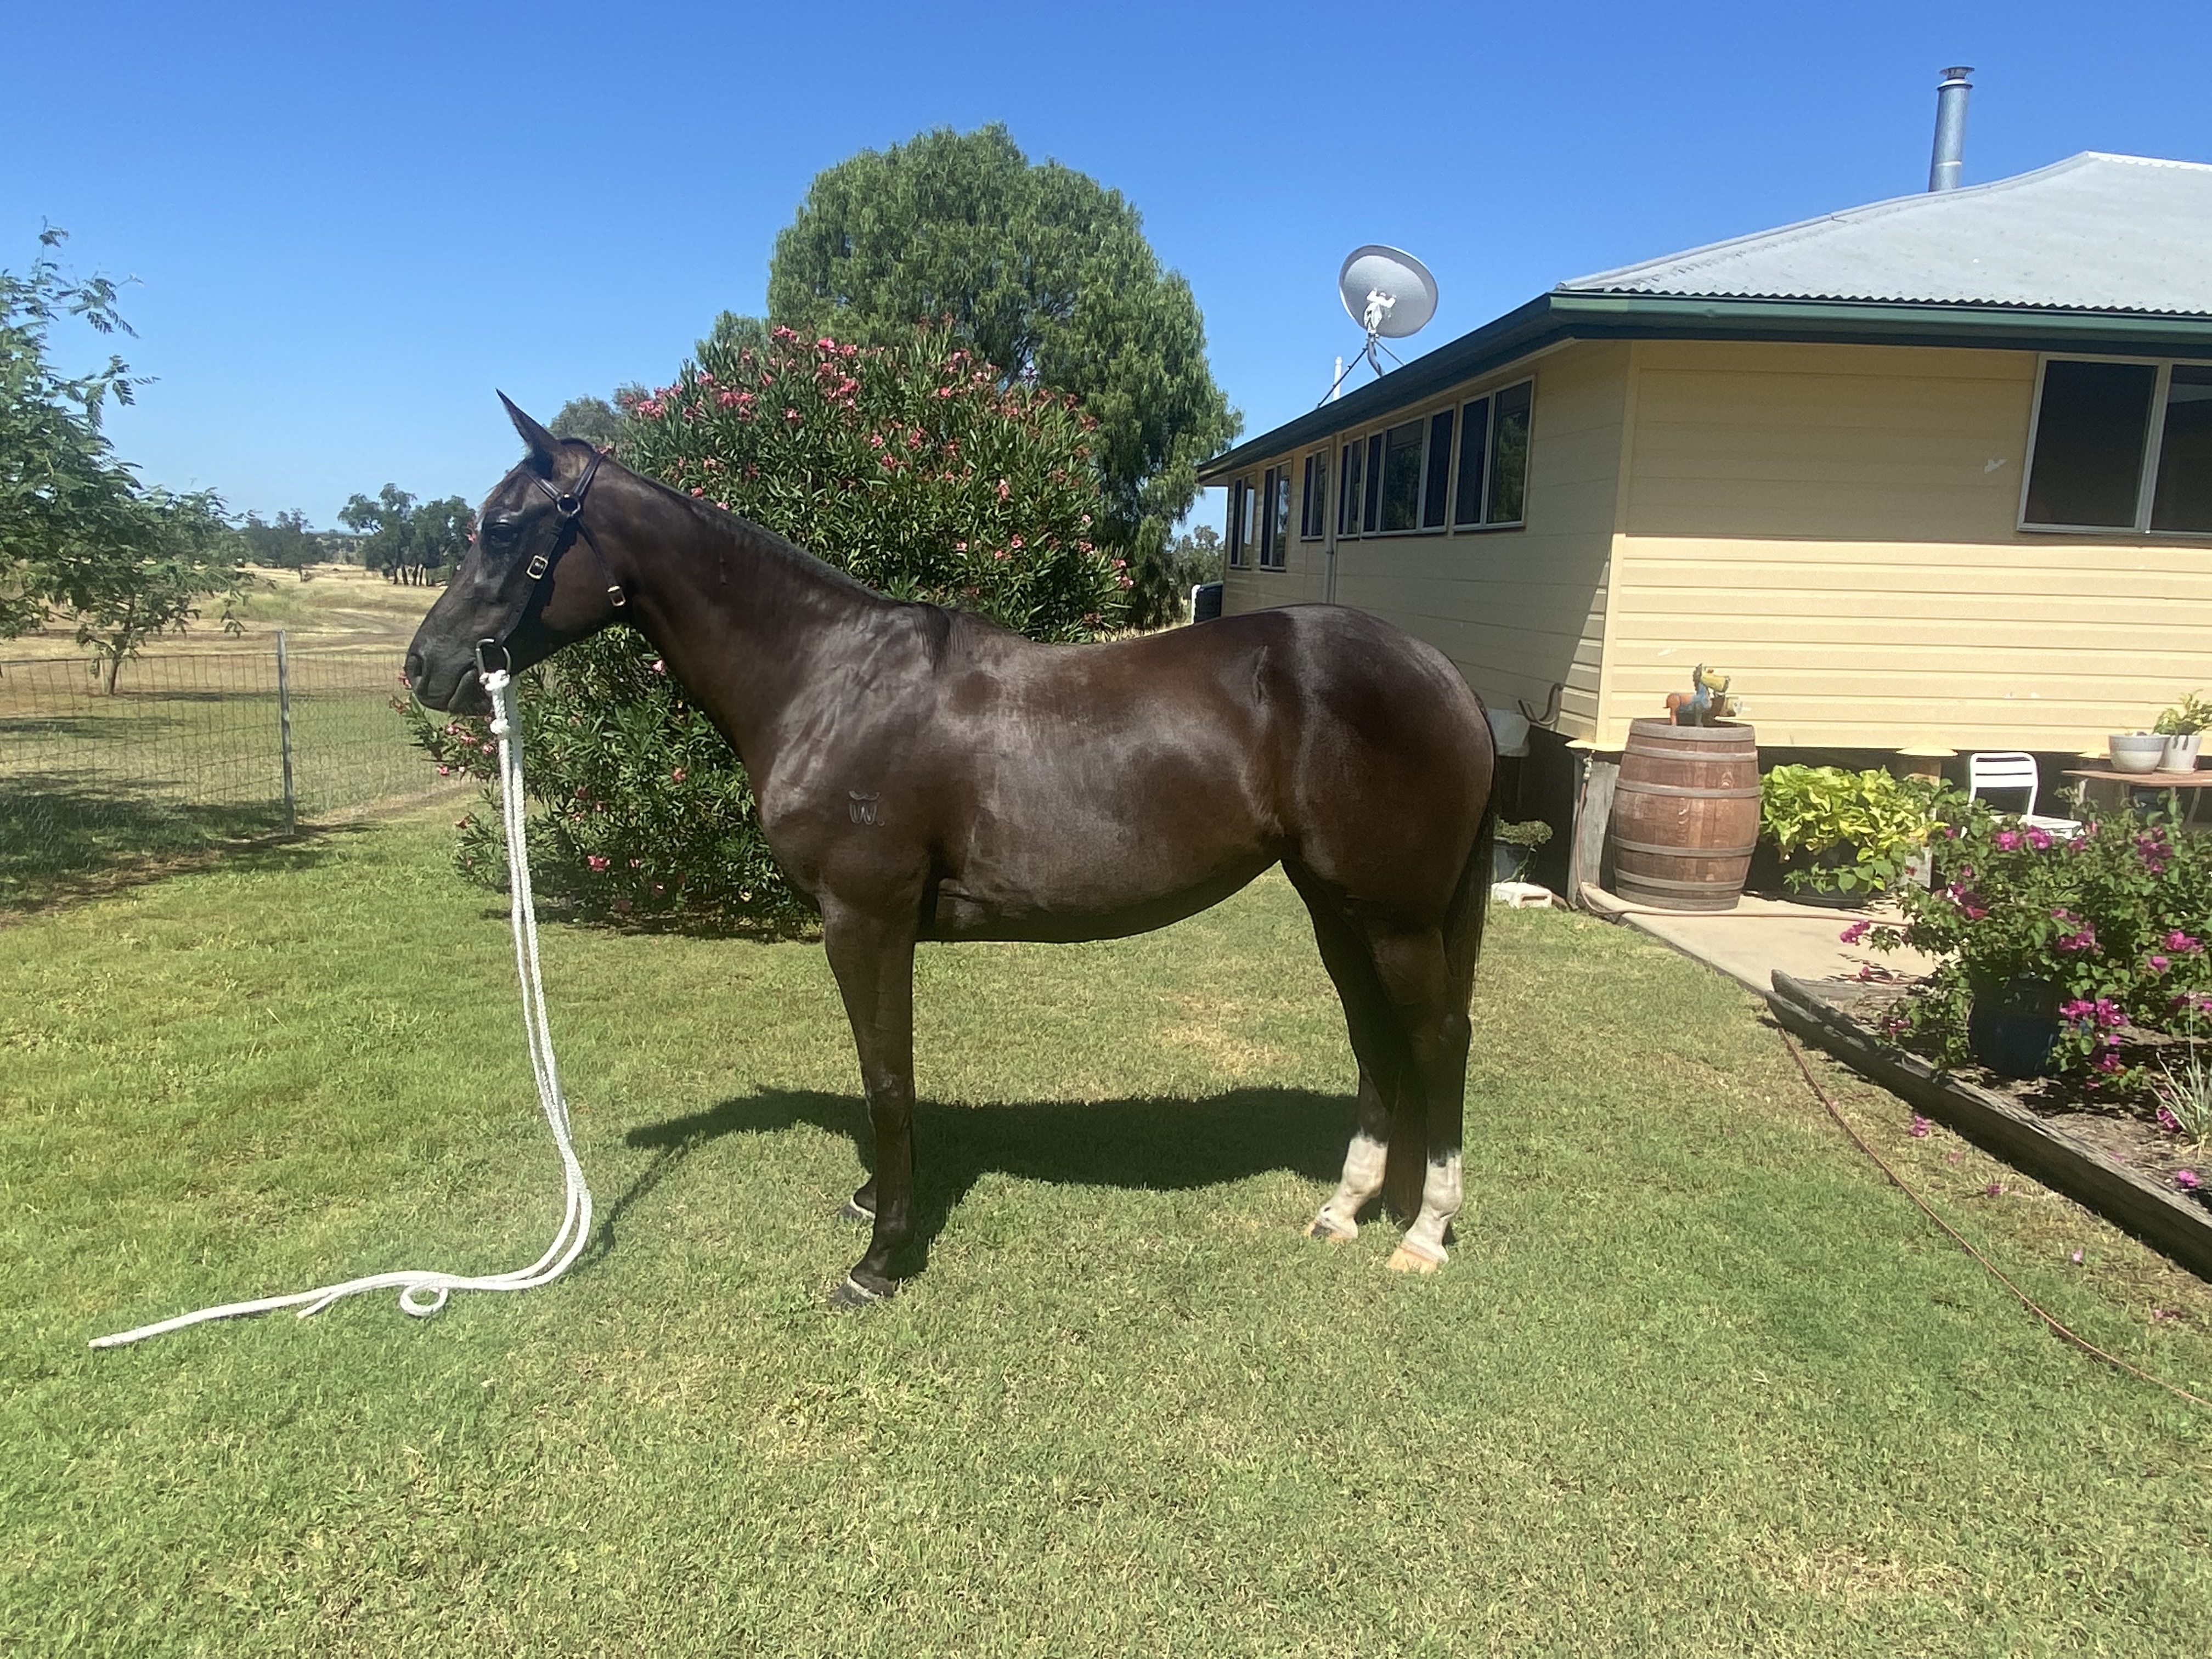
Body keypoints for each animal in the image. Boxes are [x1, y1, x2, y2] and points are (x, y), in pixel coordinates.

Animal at [406, 400, 1499, 1304]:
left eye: (504, 529)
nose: (427, 666)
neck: (827, 678)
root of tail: (1445, 673)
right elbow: (884, 1075)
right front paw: (873, 1204)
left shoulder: (865, 919)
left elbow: (886, 1079)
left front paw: (880, 1256)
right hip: (1337, 908)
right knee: (1373, 1039)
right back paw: (1344, 1210)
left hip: (1395, 916)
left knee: (1438, 1038)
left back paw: (1425, 1231)